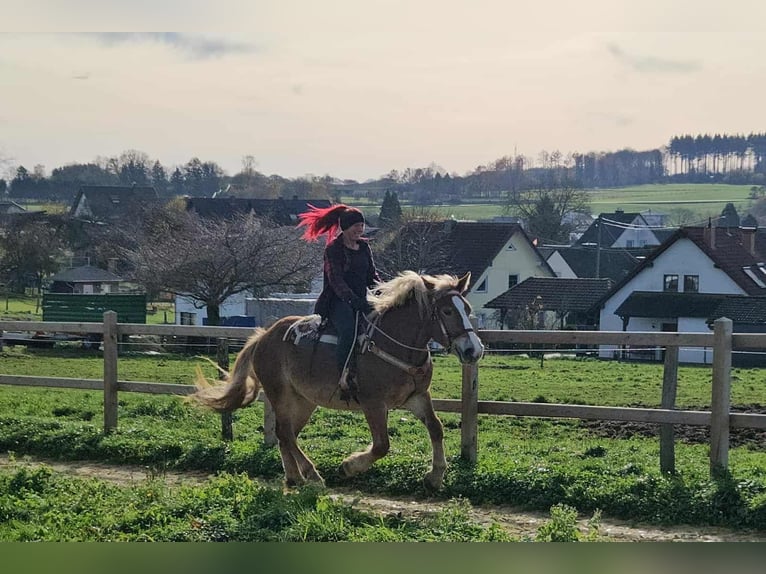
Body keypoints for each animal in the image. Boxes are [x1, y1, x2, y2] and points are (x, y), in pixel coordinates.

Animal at [191, 270, 484, 489]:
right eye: (447, 311)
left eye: (467, 308)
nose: (474, 350)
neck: (393, 343)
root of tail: (264, 336)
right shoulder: (373, 403)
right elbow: (381, 446)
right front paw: (349, 466)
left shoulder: (417, 397)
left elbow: (436, 428)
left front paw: (435, 475)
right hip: (280, 394)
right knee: (286, 433)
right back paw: (311, 474)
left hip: (304, 400)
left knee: (287, 434)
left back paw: (295, 476)